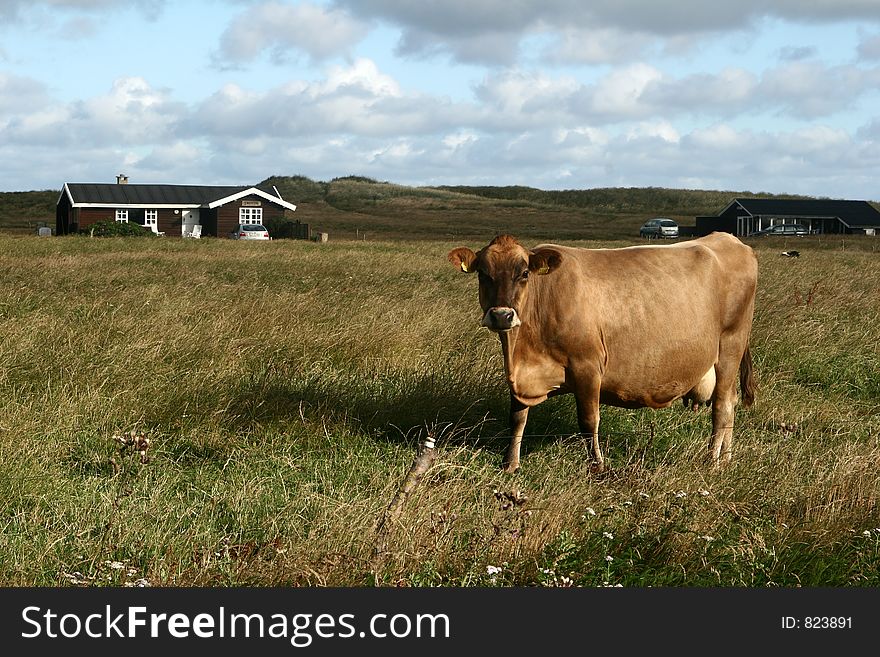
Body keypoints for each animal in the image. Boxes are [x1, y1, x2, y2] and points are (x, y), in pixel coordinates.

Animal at [446, 231, 756, 472]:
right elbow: (517, 418)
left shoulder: (588, 366)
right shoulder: (521, 376)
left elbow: (588, 421)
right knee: (730, 403)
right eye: (483, 274)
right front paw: (510, 464)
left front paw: (597, 466)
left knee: (722, 406)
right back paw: (726, 459)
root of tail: (729, 239)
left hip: (730, 346)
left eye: (523, 274)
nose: (502, 315)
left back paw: (712, 461)